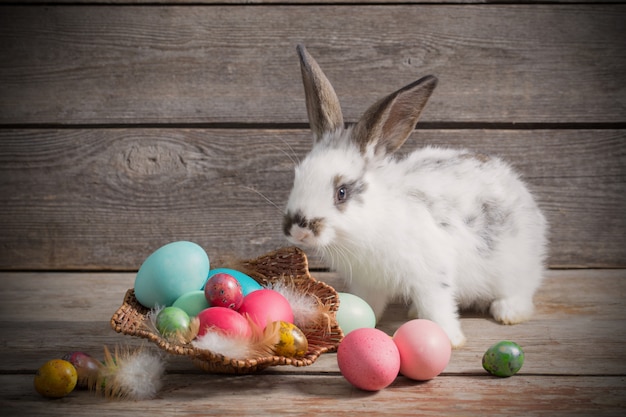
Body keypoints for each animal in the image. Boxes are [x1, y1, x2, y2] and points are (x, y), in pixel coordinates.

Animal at [282, 45, 544, 346]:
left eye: (342, 192)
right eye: (297, 177)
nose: (297, 229)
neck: (371, 223)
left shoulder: (431, 277)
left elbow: (438, 307)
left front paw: (451, 340)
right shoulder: (367, 282)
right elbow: (367, 304)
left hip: (515, 269)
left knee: (521, 291)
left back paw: (508, 312)